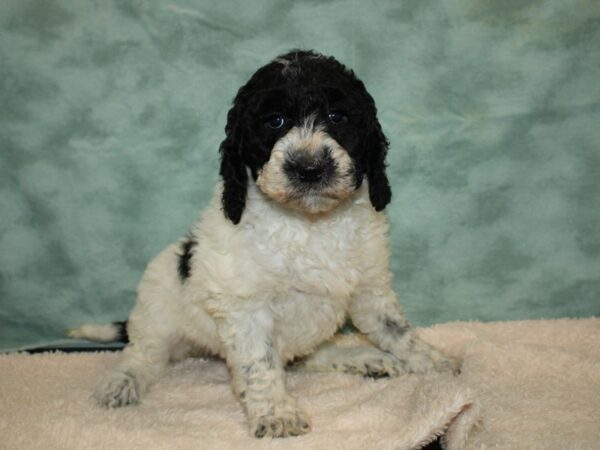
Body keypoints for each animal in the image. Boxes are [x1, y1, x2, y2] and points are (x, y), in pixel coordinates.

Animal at [71, 50, 464, 440]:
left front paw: (436, 363)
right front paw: (277, 413)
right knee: (142, 355)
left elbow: (396, 329)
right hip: (159, 311)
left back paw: (364, 359)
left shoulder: (371, 287)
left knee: (303, 356)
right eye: (274, 121)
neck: (309, 223)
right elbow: (259, 364)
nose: (309, 168)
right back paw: (122, 382)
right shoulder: (246, 306)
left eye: (337, 117)